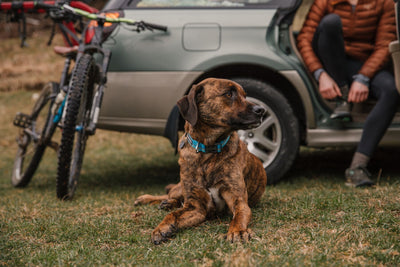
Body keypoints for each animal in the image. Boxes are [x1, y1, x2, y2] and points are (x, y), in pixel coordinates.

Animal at [133, 77, 268, 245]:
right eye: (229, 94)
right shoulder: (196, 206)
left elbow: (239, 216)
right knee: (170, 195)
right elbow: (173, 215)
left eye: (244, 95)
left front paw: (238, 231)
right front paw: (160, 229)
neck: (207, 151)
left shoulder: (238, 200)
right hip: (181, 188)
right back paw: (149, 199)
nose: (261, 110)